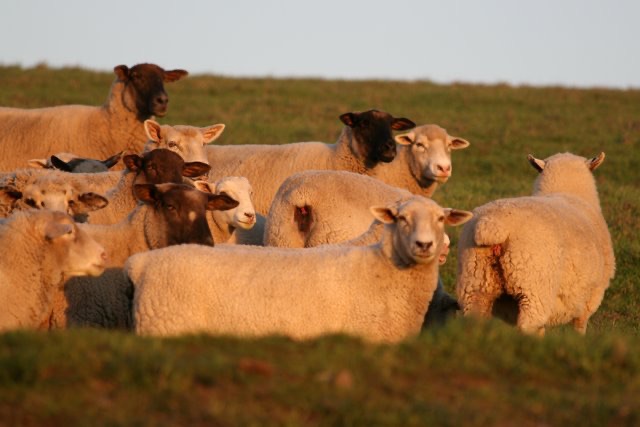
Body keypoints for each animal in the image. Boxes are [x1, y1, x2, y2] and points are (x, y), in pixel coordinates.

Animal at [125, 195, 473, 342]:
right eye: (401, 219)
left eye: (441, 219)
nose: (426, 245)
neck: (382, 269)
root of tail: (142, 263)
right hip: (166, 327)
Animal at [456, 152, 615, 335]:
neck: (566, 191)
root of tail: (493, 225)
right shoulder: (592, 295)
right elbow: (579, 327)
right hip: (534, 288)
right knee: (528, 325)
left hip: (475, 282)